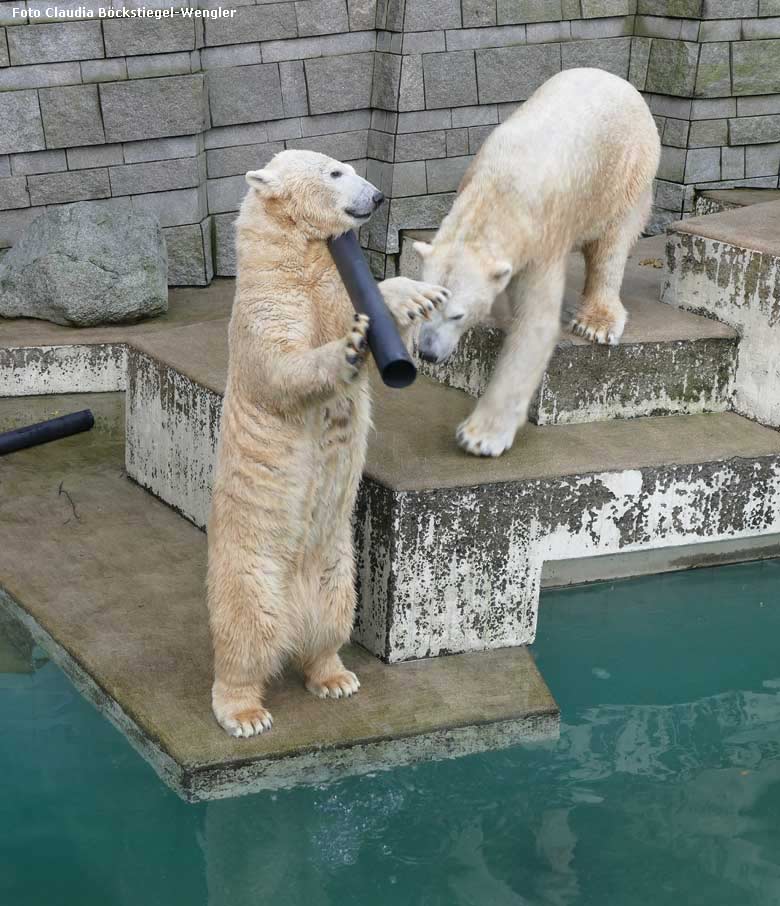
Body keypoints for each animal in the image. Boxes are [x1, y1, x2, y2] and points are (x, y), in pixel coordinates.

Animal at [207, 152, 448, 740]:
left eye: (350, 167)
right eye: (337, 173)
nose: (378, 196)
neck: (298, 253)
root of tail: (294, 612)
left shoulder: (328, 284)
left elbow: (356, 306)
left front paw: (416, 295)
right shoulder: (269, 300)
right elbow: (282, 364)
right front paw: (348, 348)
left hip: (338, 565)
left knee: (332, 620)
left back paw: (335, 676)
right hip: (252, 566)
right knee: (246, 633)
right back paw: (244, 712)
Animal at [414, 67, 660, 456]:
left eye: (457, 315)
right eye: (426, 309)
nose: (427, 353)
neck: (498, 193)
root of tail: (619, 80)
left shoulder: (541, 238)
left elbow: (535, 326)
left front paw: (480, 436)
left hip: (626, 173)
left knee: (612, 244)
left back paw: (596, 322)